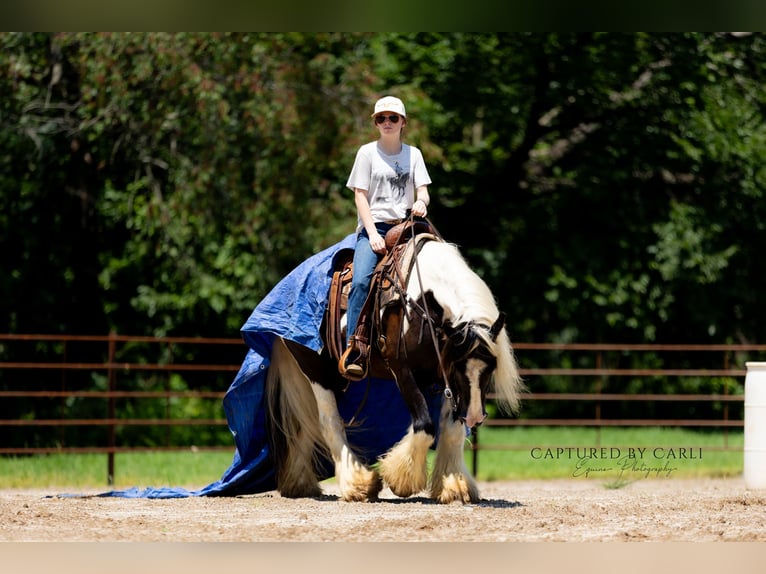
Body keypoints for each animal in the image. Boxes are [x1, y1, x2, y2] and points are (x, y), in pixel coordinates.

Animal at [264, 232, 523, 504]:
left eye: (491, 367)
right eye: (457, 366)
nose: (474, 417)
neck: (421, 305)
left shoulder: (445, 381)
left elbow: (452, 430)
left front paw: (454, 486)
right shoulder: (404, 372)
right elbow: (425, 426)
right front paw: (402, 479)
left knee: (305, 423)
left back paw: (300, 484)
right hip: (315, 370)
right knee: (328, 421)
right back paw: (358, 484)